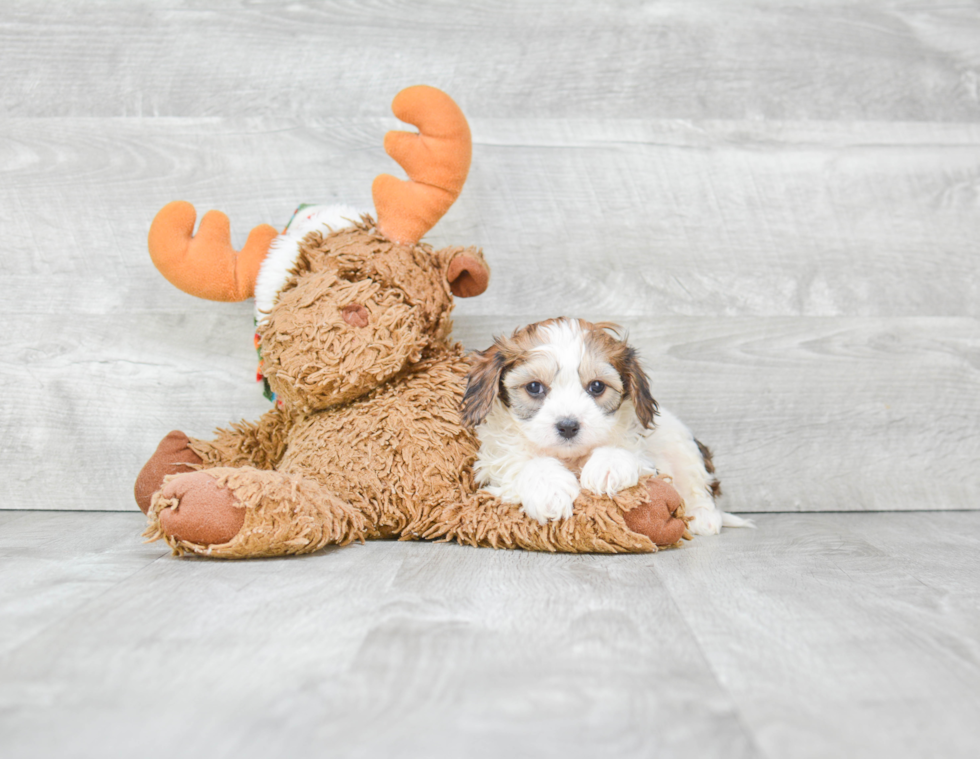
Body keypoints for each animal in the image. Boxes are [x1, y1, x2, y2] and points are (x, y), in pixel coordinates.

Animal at [460, 318, 752, 536]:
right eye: (534, 387)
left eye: (597, 386)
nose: (568, 426)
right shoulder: (497, 460)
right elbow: (522, 463)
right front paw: (550, 489)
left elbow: (623, 450)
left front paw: (607, 467)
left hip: (683, 445)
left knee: (698, 483)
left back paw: (703, 516)